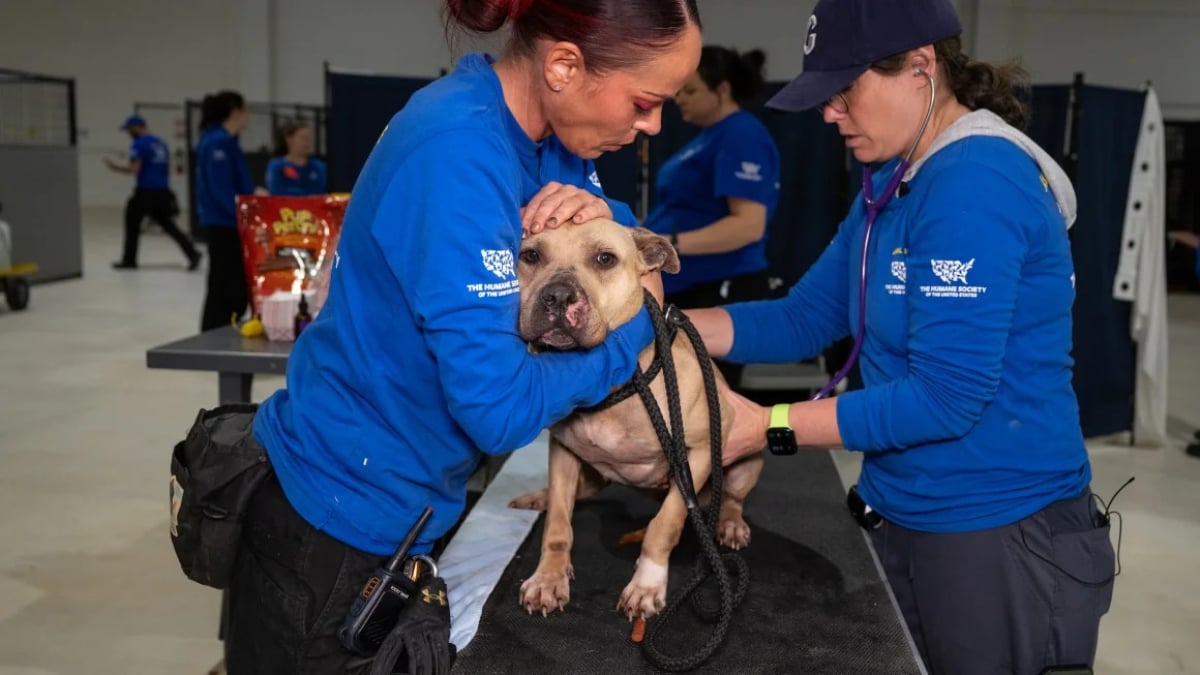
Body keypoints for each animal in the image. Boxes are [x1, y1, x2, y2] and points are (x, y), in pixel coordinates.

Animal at [511, 218, 763, 619]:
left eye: (605, 258)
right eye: (530, 255)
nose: (558, 296)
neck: (609, 384)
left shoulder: (698, 454)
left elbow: (666, 523)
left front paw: (647, 584)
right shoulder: (563, 453)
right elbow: (558, 525)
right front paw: (548, 578)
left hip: (744, 466)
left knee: (732, 499)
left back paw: (730, 523)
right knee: (574, 495)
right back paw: (540, 497)